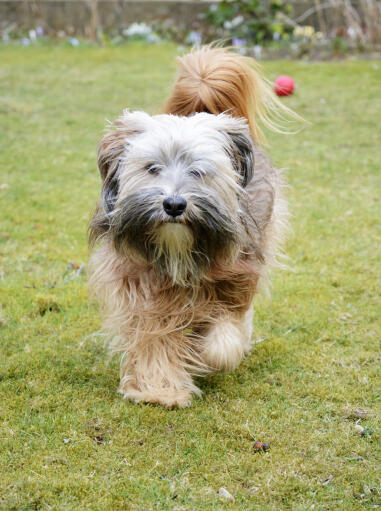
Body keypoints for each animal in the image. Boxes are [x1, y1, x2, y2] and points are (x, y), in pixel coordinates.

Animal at [88, 47, 294, 408]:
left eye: (199, 171)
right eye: (152, 167)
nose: (174, 205)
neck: (179, 249)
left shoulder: (236, 275)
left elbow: (224, 335)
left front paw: (204, 352)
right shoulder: (141, 286)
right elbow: (153, 336)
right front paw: (159, 389)